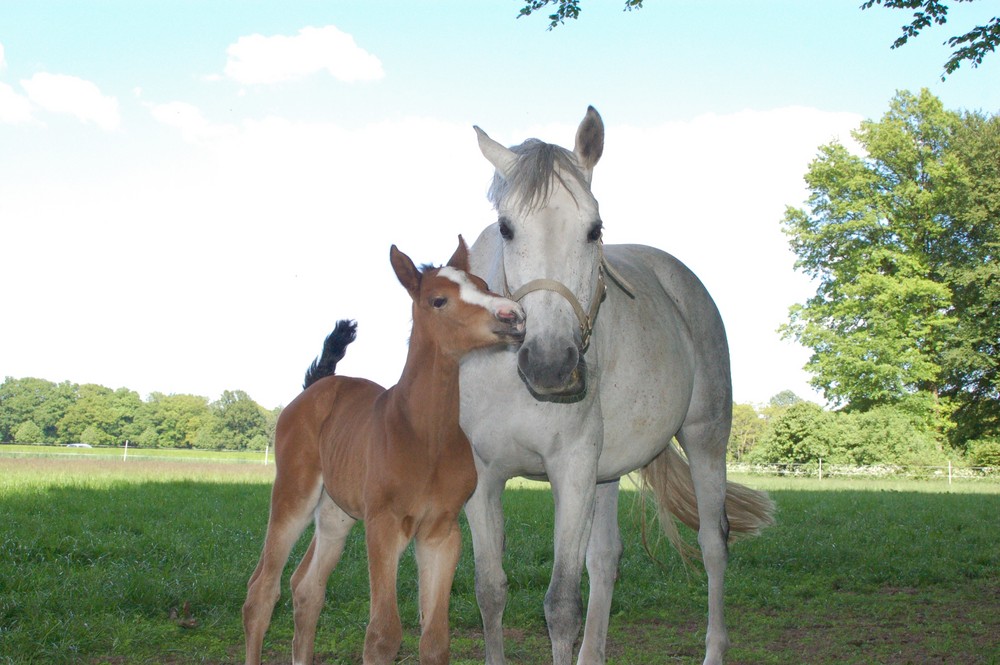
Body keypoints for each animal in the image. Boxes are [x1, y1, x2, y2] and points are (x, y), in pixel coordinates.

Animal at [241, 239, 524, 664]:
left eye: (482, 284)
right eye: (438, 300)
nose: (514, 316)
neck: (425, 436)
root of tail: (315, 387)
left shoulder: (441, 532)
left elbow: (435, 640)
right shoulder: (383, 525)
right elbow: (383, 636)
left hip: (336, 513)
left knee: (306, 588)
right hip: (293, 493)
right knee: (261, 591)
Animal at [458, 106, 776, 660]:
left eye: (594, 229)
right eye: (506, 228)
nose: (550, 365)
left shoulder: (571, 470)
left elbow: (561, 605)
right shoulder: (485, 477)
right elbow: (490, 591)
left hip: (705, 439)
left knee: (713, 544)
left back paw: (714, 649)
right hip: (604, 474)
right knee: (606, 560)